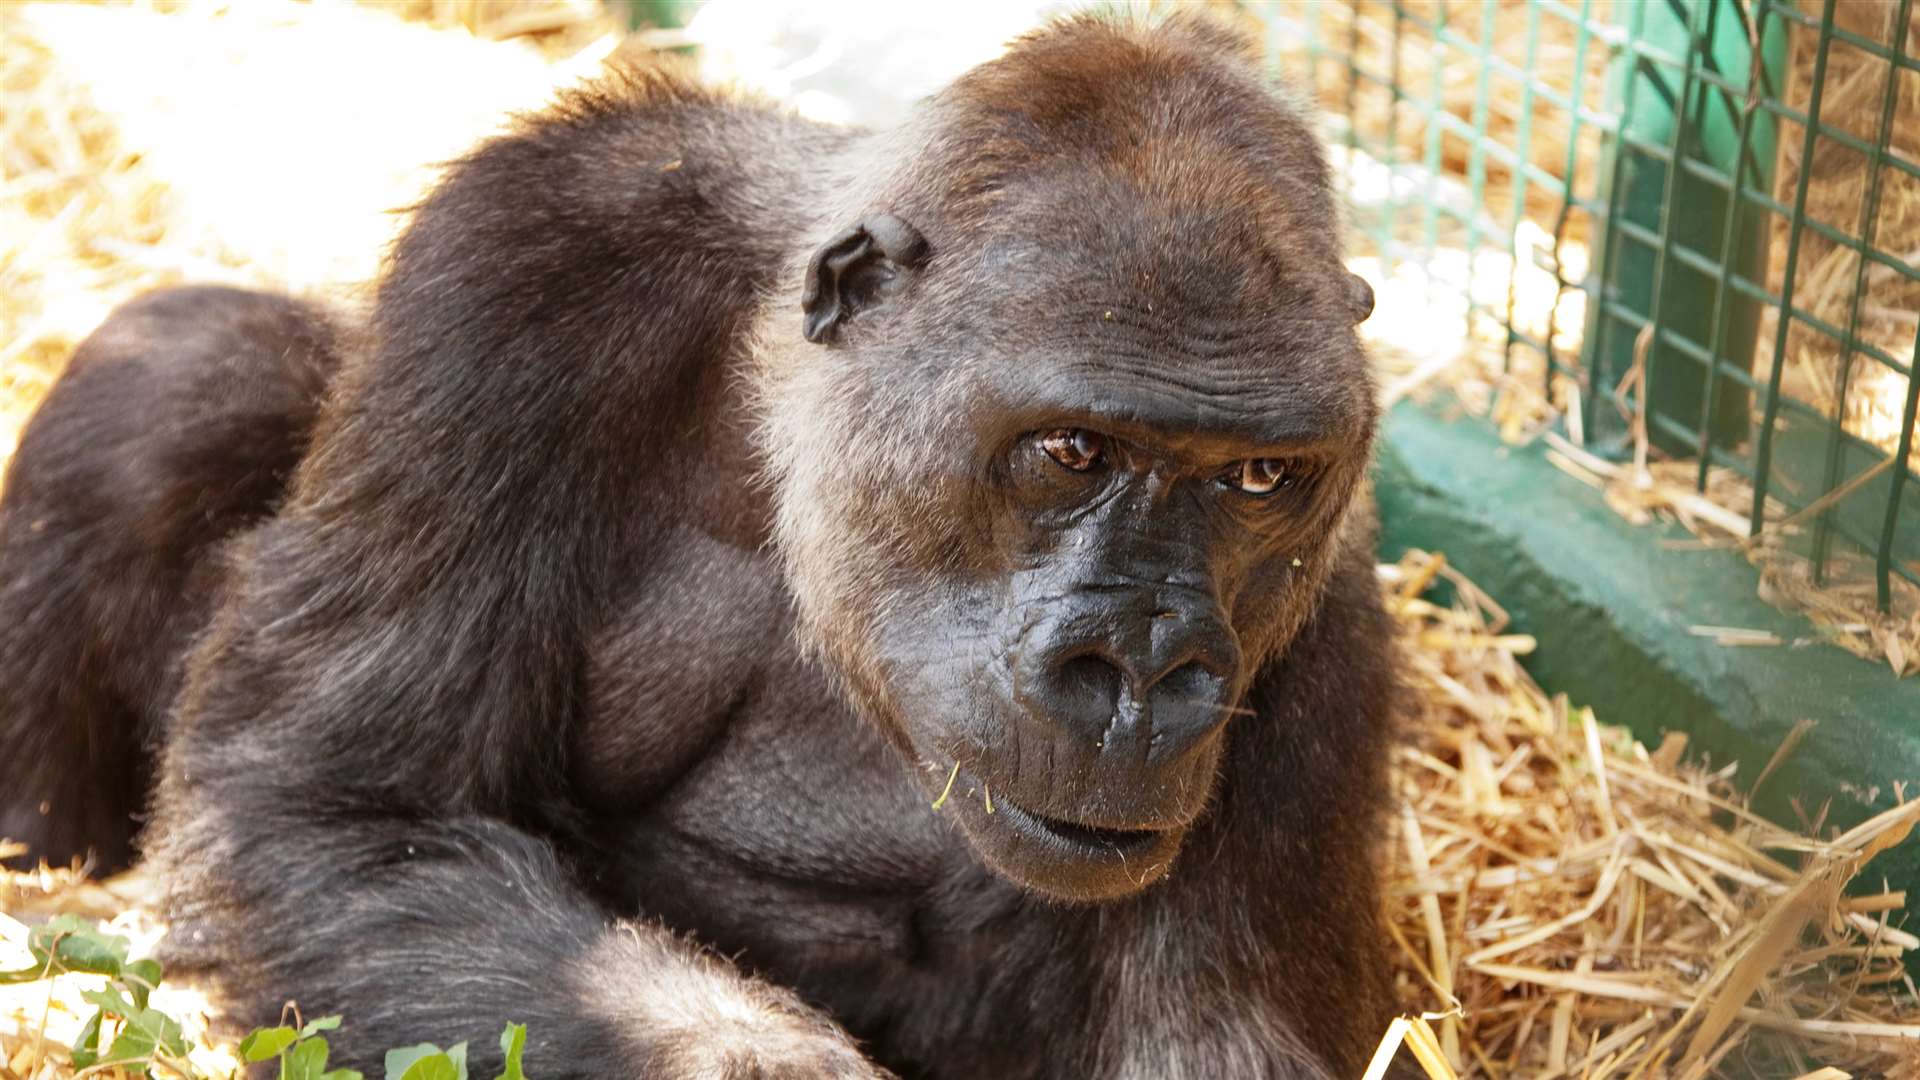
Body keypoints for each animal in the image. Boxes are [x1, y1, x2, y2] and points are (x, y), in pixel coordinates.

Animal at [3, 10, 1413, 1076]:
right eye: (1072, 451)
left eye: (1258, 477)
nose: (1144, 670)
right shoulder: (530, 257)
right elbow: (337, 810)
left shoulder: (1328, 614)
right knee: (188, 374)